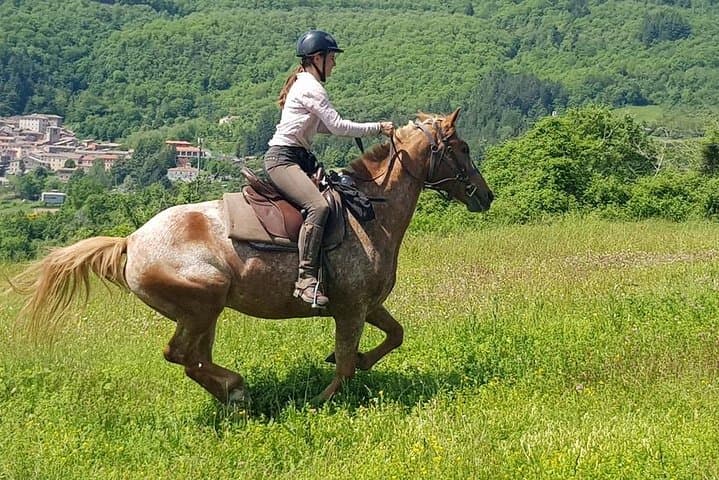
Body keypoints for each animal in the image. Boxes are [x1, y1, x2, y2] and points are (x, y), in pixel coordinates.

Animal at [10, 108, 493, 405]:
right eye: (463, 149)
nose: (485, 196)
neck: (370, 212)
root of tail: (132, 241)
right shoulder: (351, 310)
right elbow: (344, 363)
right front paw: (320, 400)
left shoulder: (368, 305)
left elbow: (393, 337)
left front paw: (355, 364)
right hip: (202, 304)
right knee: (179, 355)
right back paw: (236, 389)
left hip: (205, 313)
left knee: (193, 359)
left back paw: (233, 394)